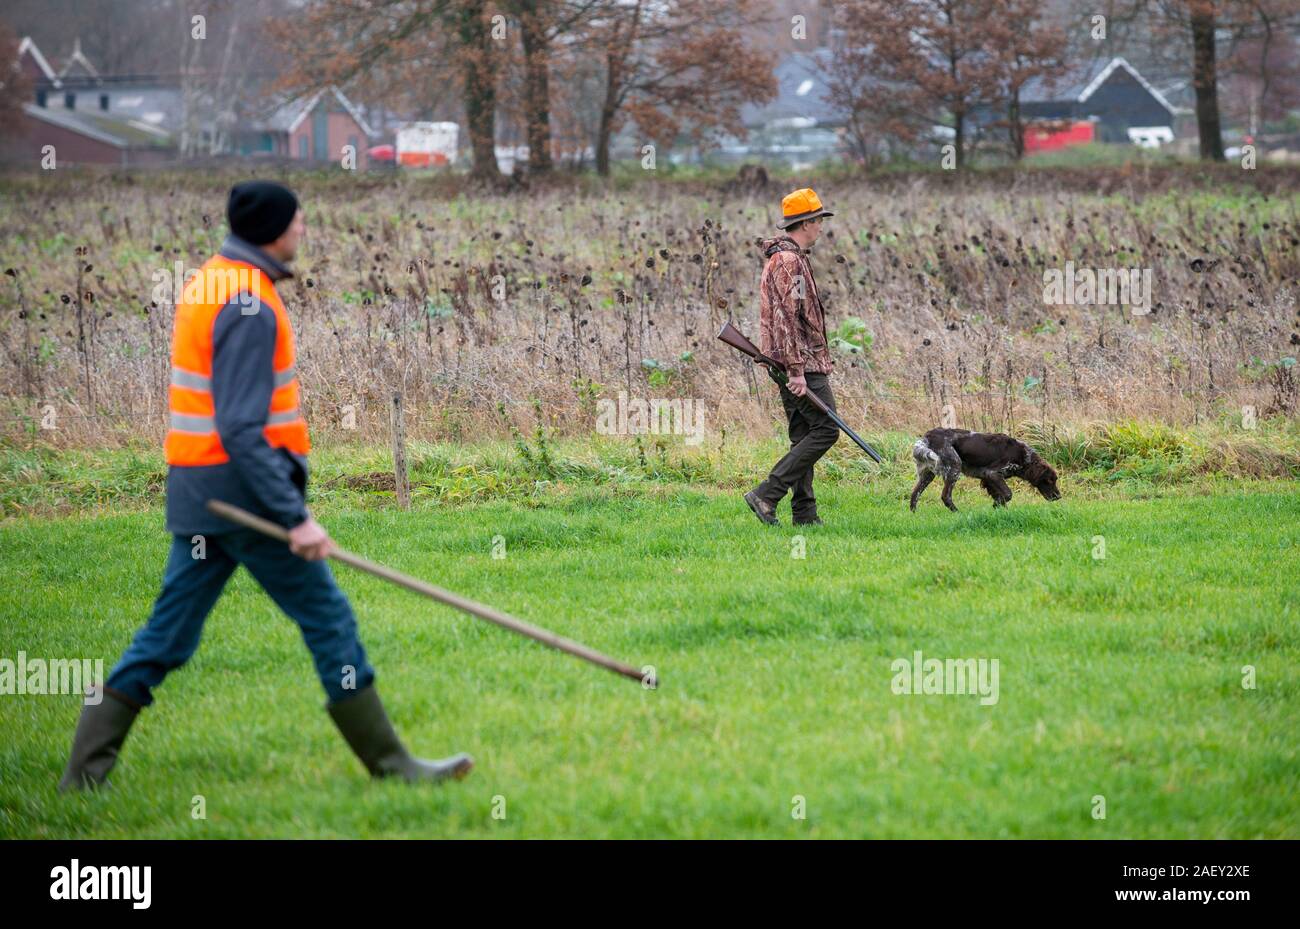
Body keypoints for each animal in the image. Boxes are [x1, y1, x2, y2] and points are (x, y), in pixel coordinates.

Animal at [909, 431, 1060, 511]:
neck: (1024, 456)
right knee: (946, 496)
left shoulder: (988, 479)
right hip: (954, 467)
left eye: (1055, 480)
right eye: (1049, 480)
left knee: (914, 494)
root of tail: (928, 436)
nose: (1059, 497)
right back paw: (958, 513)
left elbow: (1000, 497)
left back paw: (914, 515)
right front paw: (995, 507)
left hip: (928, 474)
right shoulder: (992, 474)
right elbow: (1007, 494)